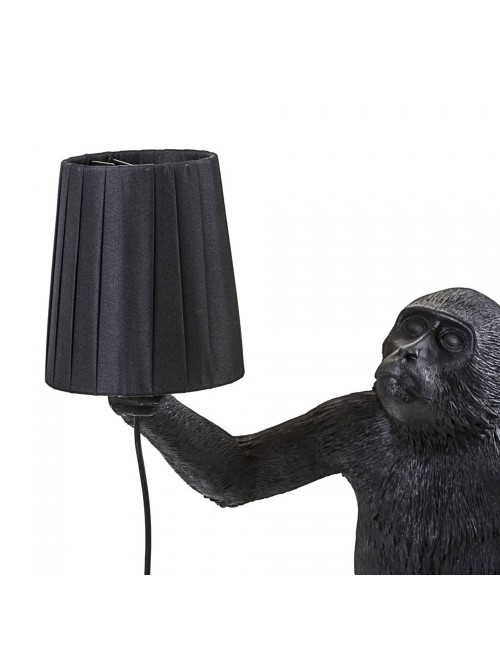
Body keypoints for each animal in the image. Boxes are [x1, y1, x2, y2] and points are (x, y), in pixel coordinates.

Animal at [109, 287, 500, 575]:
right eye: (414, 328)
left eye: (451, 341)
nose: (409, 353)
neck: (446, 435)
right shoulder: (352, 419)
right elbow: (238, 473)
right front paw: (141, 393)